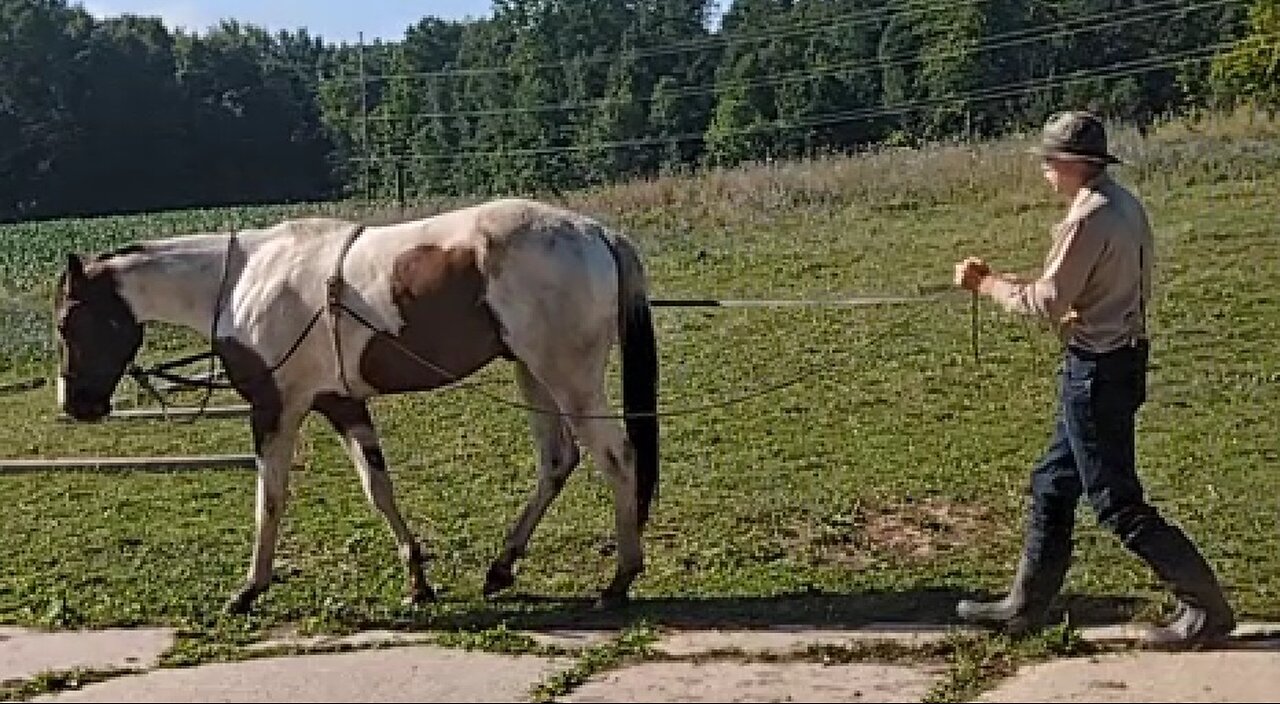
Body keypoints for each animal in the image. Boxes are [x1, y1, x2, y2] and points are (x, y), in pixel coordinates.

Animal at [53, 197, 660, 611]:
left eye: (67, 322)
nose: (75, 404)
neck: (243, 280)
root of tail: (596, 232)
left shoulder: (275, 410)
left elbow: (269, 497)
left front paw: (249, 589)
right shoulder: (341, 406)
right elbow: (378, 490)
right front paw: (417, 580)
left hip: (567, 377)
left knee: (617, 458)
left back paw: (620, 578)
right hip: (533, 373)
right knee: (558, 461)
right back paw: (501, 568)